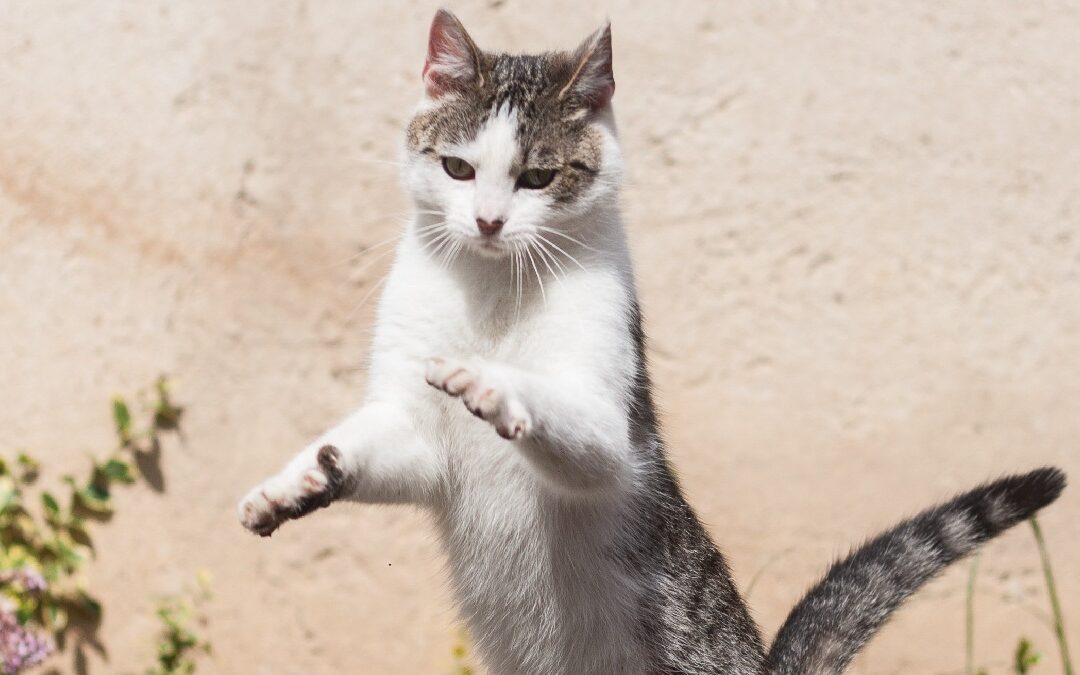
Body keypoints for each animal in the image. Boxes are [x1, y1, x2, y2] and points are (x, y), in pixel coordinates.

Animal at [236, 11, 1062, 673]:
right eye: (458, 168)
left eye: (538, 177)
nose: (490, 222)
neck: (494, 286)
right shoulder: (413, 431)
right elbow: (363, 447)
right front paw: (296, 483)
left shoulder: (610, 436)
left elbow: (560, 411)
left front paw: (491, 382)